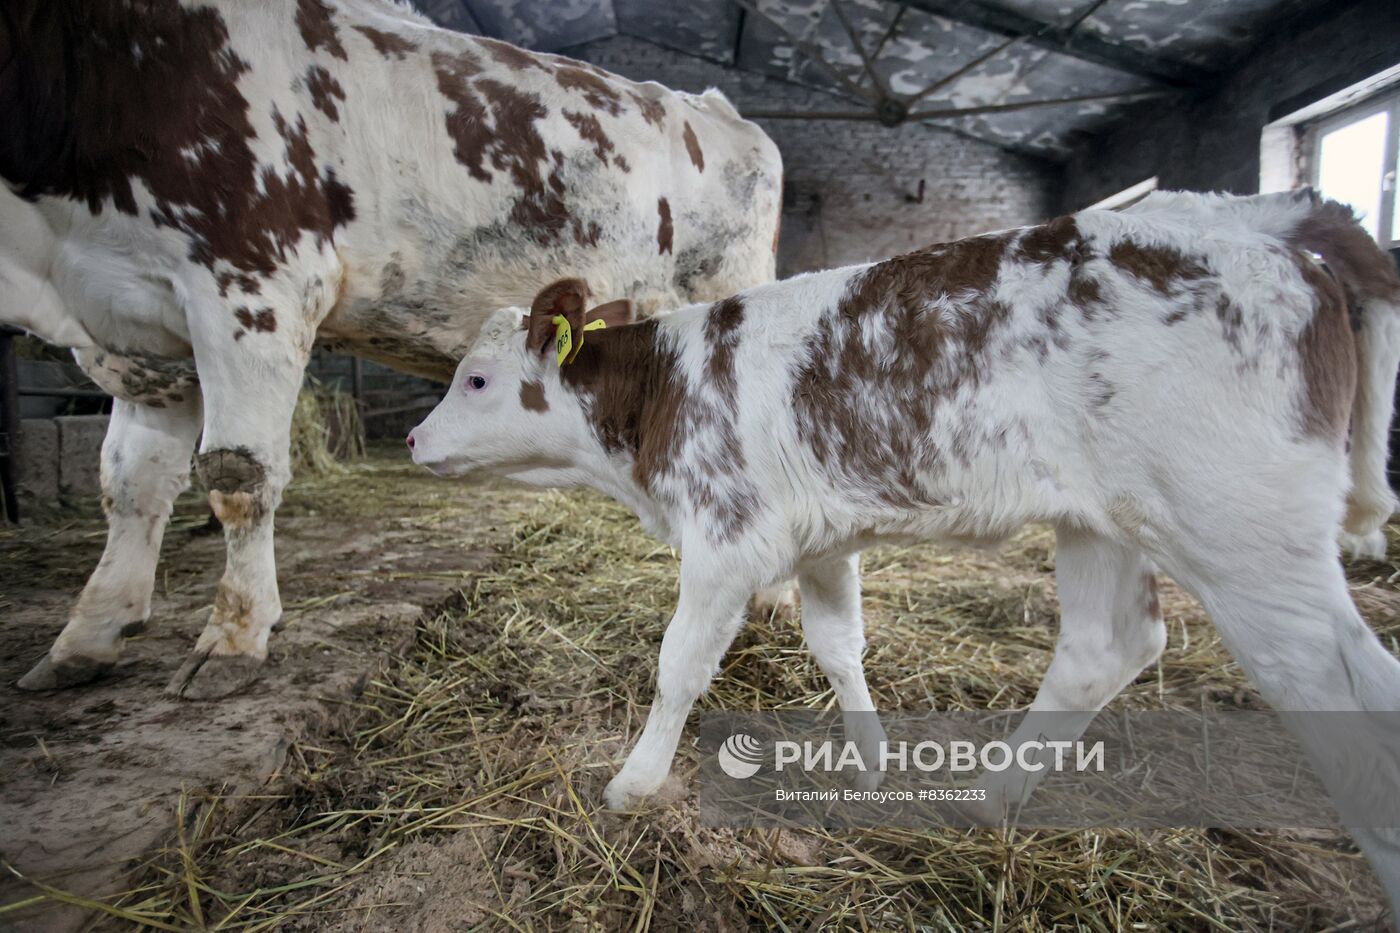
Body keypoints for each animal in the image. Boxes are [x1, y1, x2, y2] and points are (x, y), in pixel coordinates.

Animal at [0, 0, 789, 694]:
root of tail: (718, 110)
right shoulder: (133, 330)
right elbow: (130, 483)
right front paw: (89, 634)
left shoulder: (254, 281)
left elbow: (236, 475)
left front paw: (232, 638)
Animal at [408, 189, 1400, 907]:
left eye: (477, 380)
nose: (415, 438)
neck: (661, 393)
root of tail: (1268, 230)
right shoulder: (818, 536)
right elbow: (838, 643)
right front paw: (872, 759)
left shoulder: (728, 530)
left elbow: (680, 663)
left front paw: (634, 782)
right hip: (1110, 519)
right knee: (1108, 646)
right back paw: (996, 795)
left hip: (1244, 535)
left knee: (1342, 703)